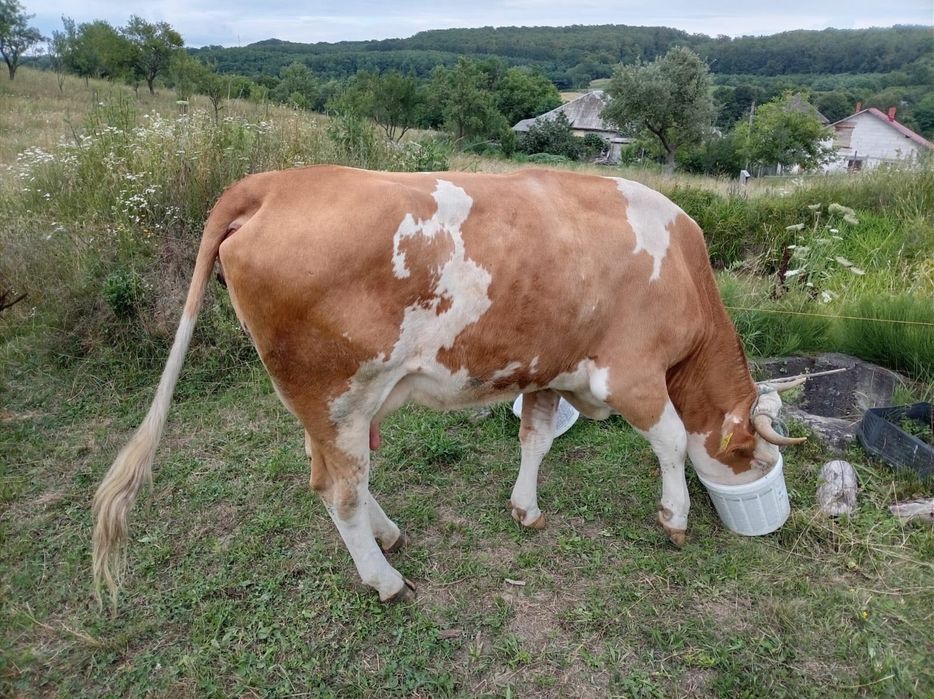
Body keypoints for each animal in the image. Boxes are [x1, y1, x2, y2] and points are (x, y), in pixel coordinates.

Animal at [93, 165, 806, 606]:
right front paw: (675, 517)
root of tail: (274, 181)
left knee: (338, 473)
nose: (757, 477)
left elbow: (535, 439)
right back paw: (385, 579)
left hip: (329, 405)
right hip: (337, 393)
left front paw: (526, 508)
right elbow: (672, 441)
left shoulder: (547, 368)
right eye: (754, 451)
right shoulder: (630, 375)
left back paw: (387, 535)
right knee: (336, 489)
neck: (683, 271)